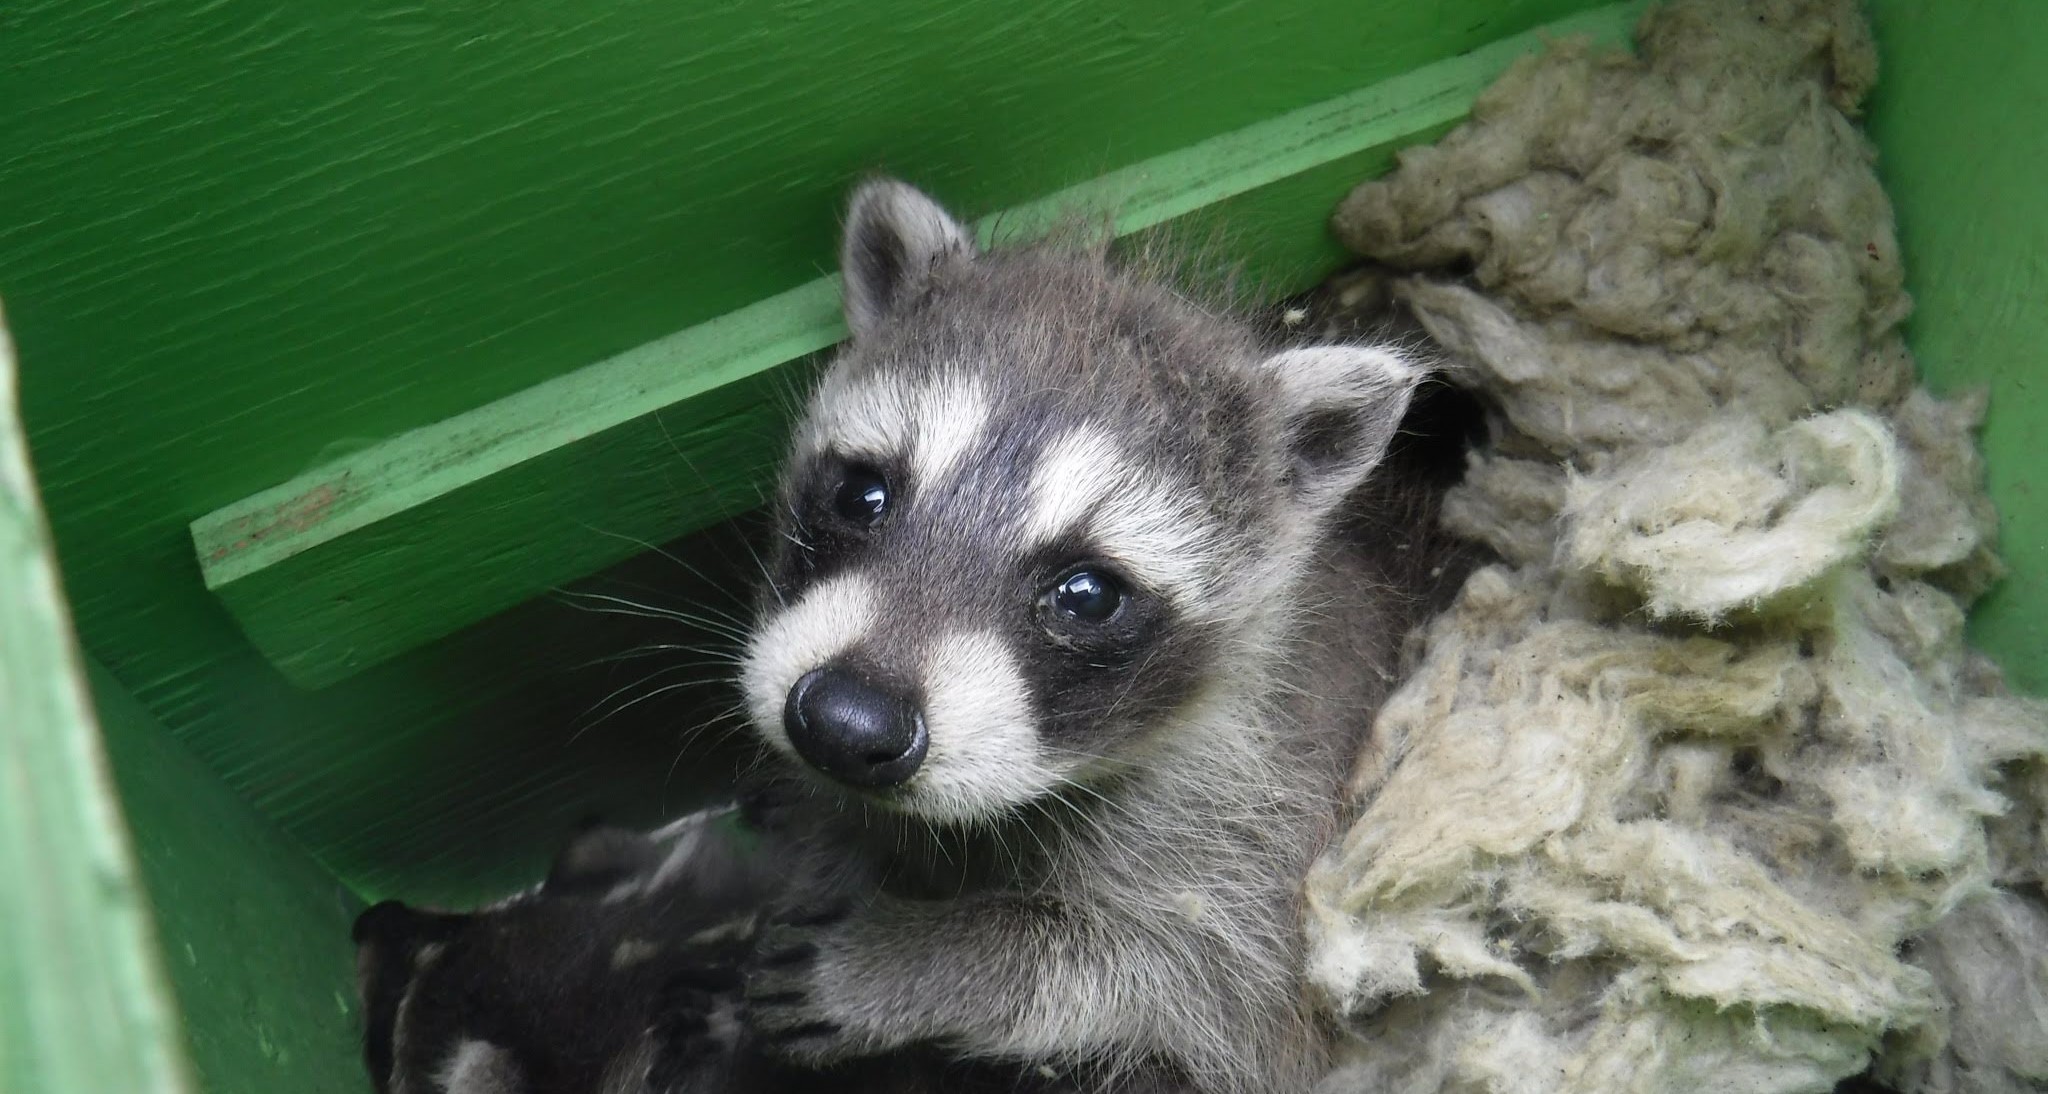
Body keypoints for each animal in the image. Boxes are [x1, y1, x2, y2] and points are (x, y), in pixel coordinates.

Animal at [733, 182, 1458, 1094]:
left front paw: (932, 959)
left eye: (1087, 595)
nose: (843, 722)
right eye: (862, 494)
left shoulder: (1262, 821)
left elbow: (1196, 980)